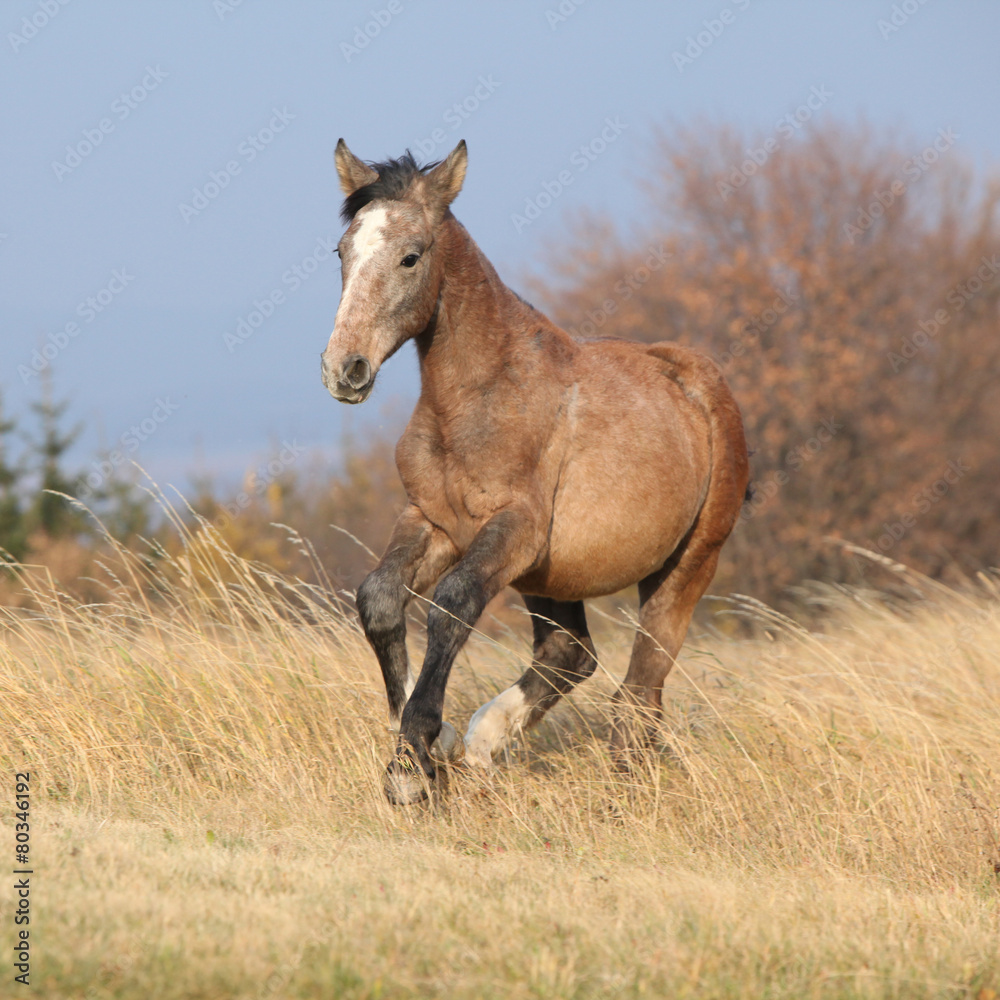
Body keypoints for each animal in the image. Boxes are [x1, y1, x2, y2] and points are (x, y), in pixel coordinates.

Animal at [321, 139, 749, 805]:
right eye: (342, 252)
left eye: (411, 256)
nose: (346, 369)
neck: (477, 400)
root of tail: (701, 384)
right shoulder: (434, 522)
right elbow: (381, 599)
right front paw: (429, 745)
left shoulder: (514, 529)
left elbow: (452, 605)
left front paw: (413, 765)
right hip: (551, 577)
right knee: (571, 654)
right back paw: (481, 744)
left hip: (685, 567)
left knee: (641, 690)